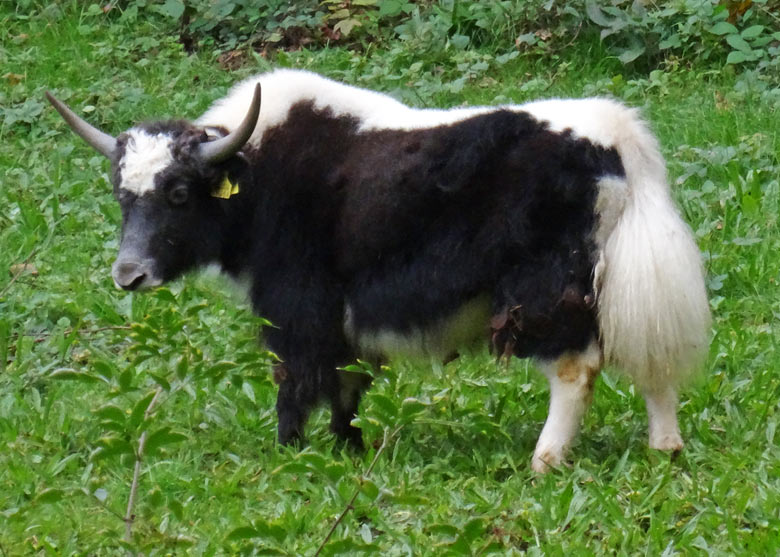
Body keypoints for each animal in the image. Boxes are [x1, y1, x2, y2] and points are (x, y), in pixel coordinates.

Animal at [45, 68, 708, 470]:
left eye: (180, 193)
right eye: (122, 195)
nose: (129, 274)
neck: (258, 172)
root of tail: (620, 143)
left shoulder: (297, 304)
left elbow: (298, 377)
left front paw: (290, 452)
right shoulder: (341, 318)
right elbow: (345, 382)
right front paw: (349, 449)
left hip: (544, 289)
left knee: (577, 368)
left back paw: (543, 462)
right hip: (620, 278)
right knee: (651, 359)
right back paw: (666, 450)